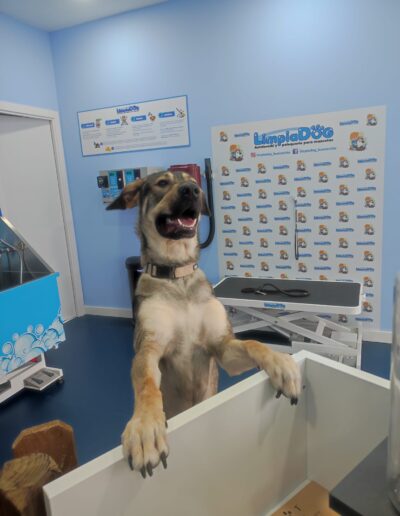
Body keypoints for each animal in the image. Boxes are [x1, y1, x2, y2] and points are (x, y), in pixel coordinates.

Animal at [107, 171, 301, 477]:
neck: (178, 277)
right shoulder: (149, 348)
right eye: (162, 183)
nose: (192, 190)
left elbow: (254, 343)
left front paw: (281, 363)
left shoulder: (221, 347)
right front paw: (145, 426)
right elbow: (147, 384)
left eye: (192, 180)